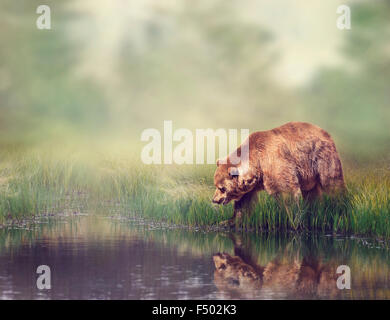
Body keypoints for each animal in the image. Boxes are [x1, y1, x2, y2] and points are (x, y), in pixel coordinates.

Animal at [213, 121, 344, 224]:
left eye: (221, 188)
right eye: (216, 185)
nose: (214, 199)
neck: (257, 165)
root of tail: (325, 132)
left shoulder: (275, 163)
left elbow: (287, 191)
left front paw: (291, 218)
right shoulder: (252, 186)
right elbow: (244, 203)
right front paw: (229, 221)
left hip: (321, 158)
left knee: (332, 184)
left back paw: (338, 207)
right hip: (309, 174)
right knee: (311, 192)